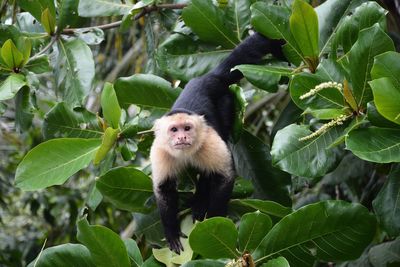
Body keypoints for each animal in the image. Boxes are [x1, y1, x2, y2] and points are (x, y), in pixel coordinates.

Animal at [150, 32, 284, 254]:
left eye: (187, 128)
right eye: (174, 130)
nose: (182, 138)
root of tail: (208, 77)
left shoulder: (209, 141)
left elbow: (225, 177)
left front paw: (214, 222)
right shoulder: (160, 151)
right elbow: (164, 189)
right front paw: (171, 232)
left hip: (226, 101)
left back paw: (200, 202)